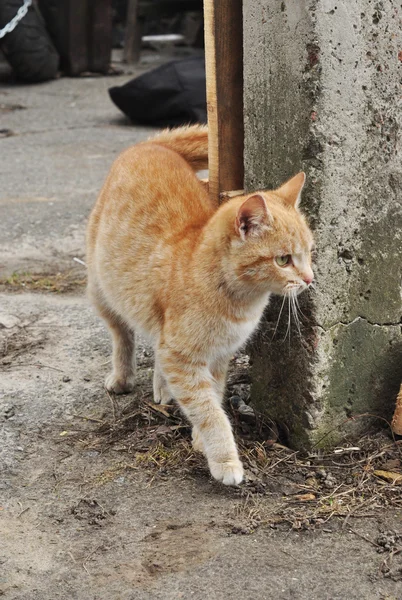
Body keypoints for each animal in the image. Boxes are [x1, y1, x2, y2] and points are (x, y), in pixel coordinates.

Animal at [87, 124, 314, 486]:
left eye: (309, 252)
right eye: (283, 259)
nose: (309, 279)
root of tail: (147, 146)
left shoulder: (218, 356)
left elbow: (214, 397)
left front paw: (199, 438)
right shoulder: (183, 357)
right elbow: (209, 412)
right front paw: (223, 458)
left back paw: (162, 386)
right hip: (101, 290)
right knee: (122, 336)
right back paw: (123, 378)